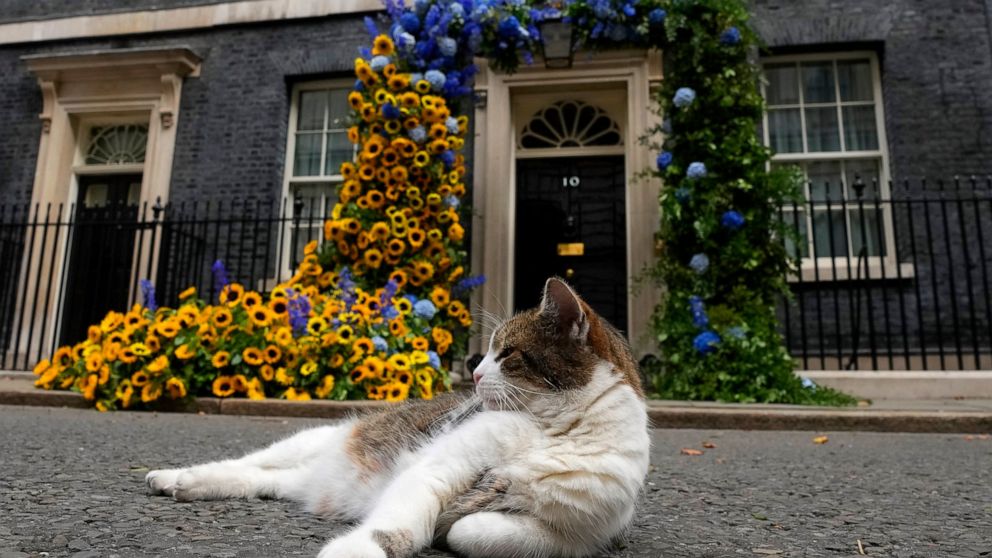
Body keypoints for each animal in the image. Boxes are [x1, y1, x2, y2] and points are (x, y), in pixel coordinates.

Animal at [143, 280, 648, 558]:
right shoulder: (441, 466)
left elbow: (474, 531)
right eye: (489, 352)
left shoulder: (573, 534)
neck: (559, 430)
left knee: (261, 480)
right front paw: (358, 550)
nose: (474, 373)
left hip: (304, 480)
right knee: (247, 463)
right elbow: (401, 521)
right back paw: (176, 476)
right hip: (315, 438)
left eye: (506, 354)